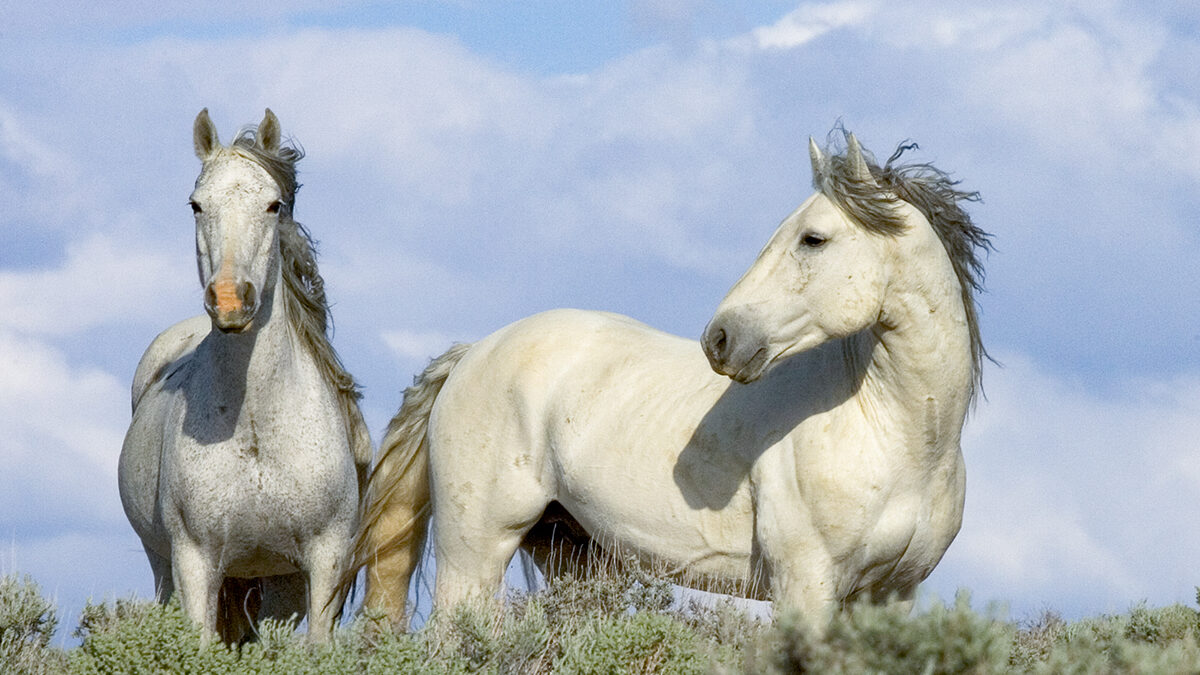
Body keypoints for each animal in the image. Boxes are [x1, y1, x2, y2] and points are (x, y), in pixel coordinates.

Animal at [119, 107, 369, 638]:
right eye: (196, 204)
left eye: (274, 205)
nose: (231, 300)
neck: (256, 426)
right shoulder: (195, 562)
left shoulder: (324, 562)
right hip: (166, 567)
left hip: (277, 587)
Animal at [350, 130, 988, 629]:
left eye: (814, 239)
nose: (720, 339)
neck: (899, 436)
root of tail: (475, 353)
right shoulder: (807, 585)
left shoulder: (891, 596)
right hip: (475, 554)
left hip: (571, 556)